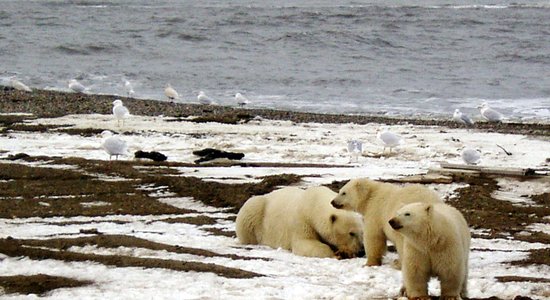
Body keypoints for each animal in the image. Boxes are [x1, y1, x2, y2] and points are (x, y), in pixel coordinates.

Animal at [235, 185, 364, 258]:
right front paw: (336, 254)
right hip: (255, 211)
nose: (361, 251)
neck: (314, 204)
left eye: (362, 233)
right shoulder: (302, 221)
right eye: (351, 233)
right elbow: (305, 243)